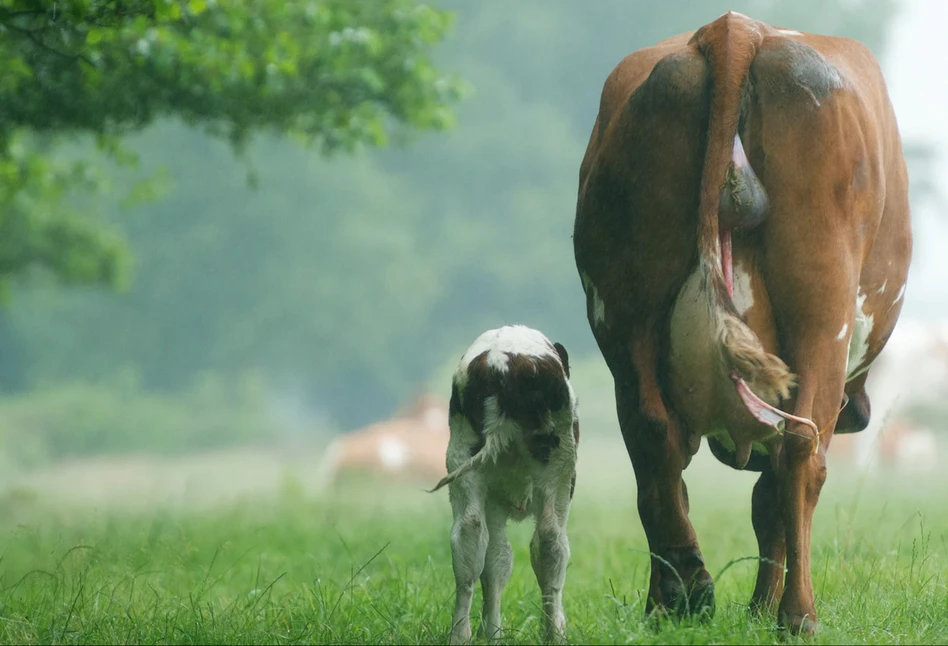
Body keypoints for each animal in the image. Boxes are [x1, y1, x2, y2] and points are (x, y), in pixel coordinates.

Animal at [430, 326, 576, 644]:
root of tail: (502, 364)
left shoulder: (493, 500)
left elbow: (496, 560)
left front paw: (492, 632)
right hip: (560, 469)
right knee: (551, 541)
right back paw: (553, 633)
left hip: (462, 461)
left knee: (469, 537)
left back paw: (460, 634)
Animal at [572, 11, 916, 636]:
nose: (860, 411)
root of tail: (735, 29)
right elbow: (772, 494)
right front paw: (763, 607)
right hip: (822, 310)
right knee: (802, 451)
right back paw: (798, 616)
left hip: (621, 310)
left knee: (653, 441)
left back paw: (678, 597)